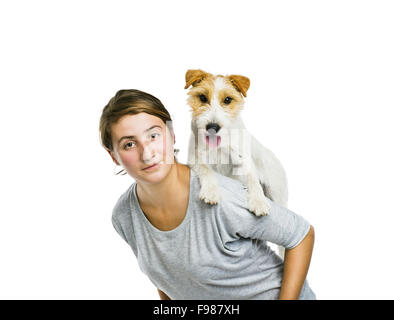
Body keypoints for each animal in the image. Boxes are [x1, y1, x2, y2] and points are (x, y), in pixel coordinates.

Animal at [183, 68, 288, 218]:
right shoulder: (195, 158)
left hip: (276, 192)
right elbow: (207, 170)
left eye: (227, 99)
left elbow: (253, 180)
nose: (212, 127)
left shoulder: (243, 161)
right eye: (202, 97)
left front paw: (258, 201)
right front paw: (211, 191)